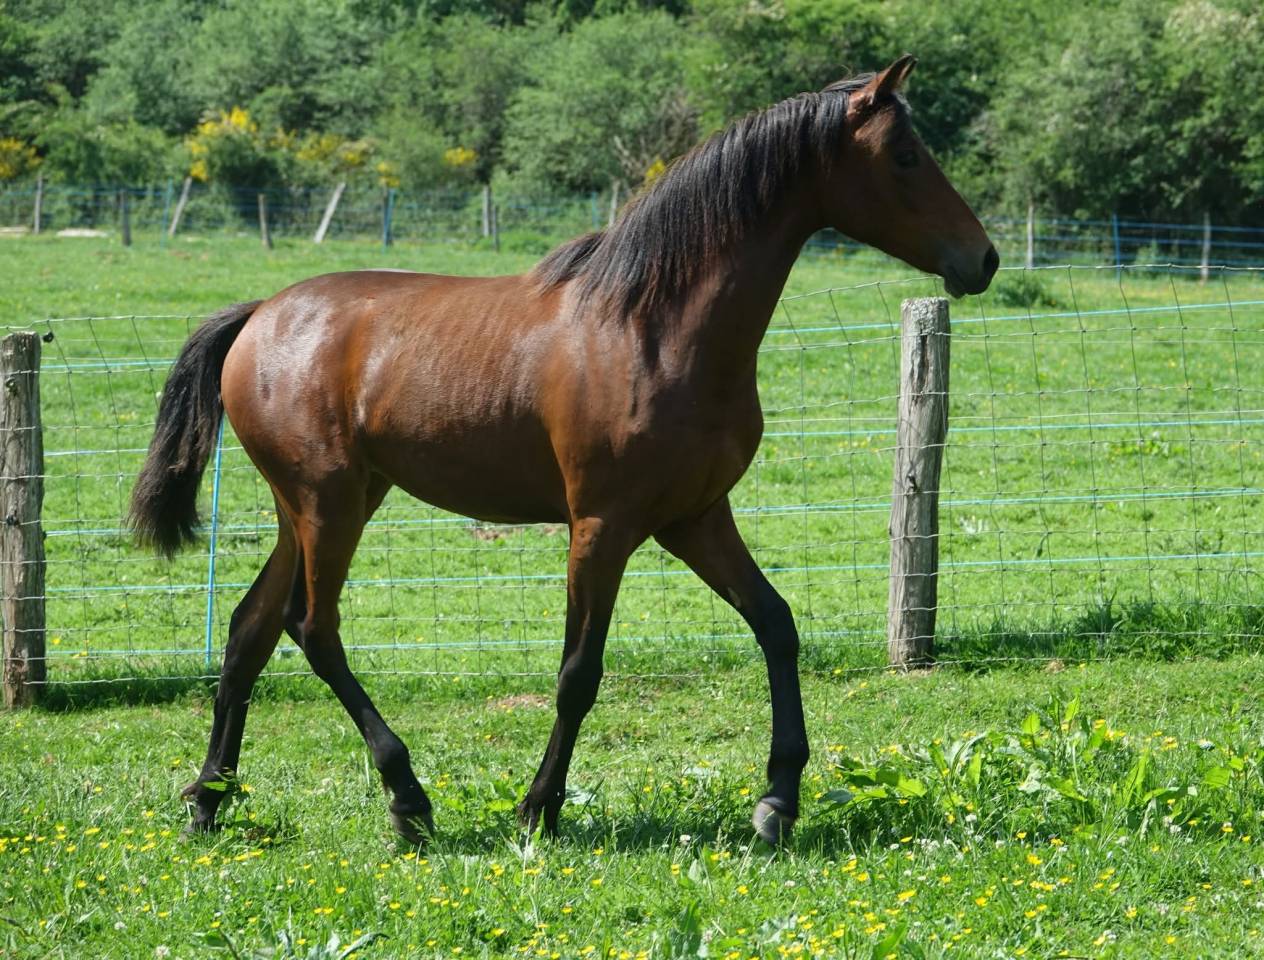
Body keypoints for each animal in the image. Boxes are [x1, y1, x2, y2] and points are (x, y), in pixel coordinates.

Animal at [130, 55, 997, 846]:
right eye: (905, 155)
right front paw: (538, 808)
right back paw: (407, 797)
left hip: (314, 507)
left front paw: (777, 802)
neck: (656, 328)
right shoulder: (602, 526)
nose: (982, 258)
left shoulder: (695, 519)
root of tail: (258, 316)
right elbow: (579, 672)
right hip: (329, 504)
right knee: (313, 629)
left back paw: (210, 802)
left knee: (249, 631)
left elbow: (777, 626)